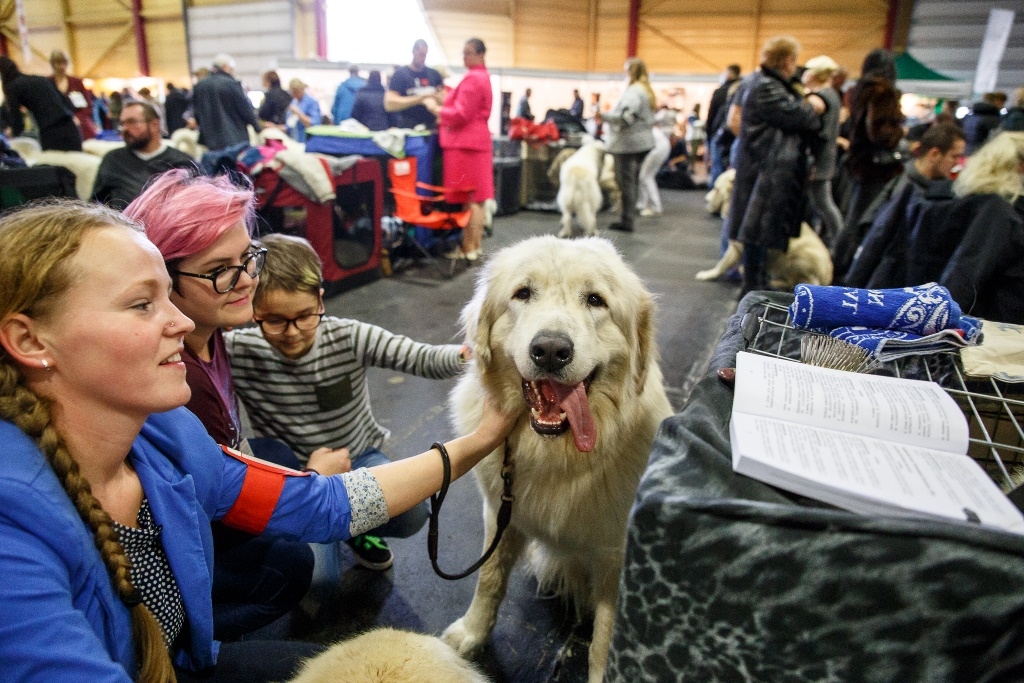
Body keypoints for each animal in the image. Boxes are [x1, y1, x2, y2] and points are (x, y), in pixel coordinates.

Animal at [442, 236, 671, 683]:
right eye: (523, 293)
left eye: (595, 300)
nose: (550, 350)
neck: (555, 453)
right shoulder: (500, 512)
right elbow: (489, 578)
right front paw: (472, 634)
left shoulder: (615, 556)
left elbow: (604, 637)